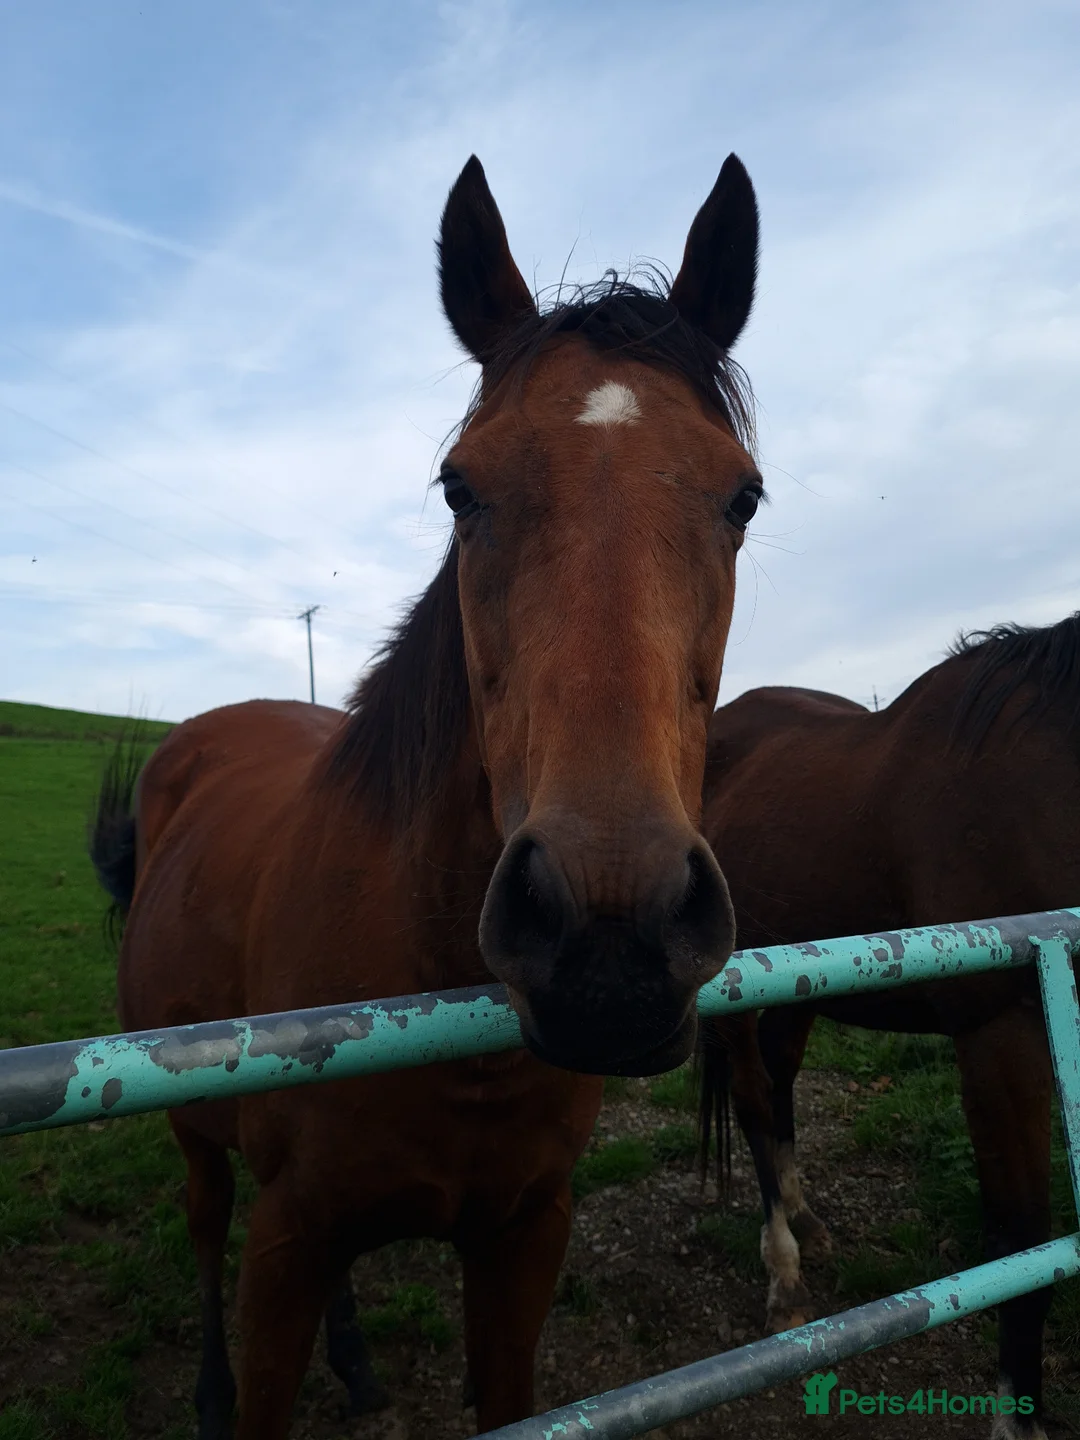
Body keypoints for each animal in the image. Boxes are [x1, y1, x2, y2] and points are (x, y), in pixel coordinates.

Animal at [90, 152, 766, 1439]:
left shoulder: (524, 1238)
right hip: (197, 1135)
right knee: (202, 1223)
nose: (610, 937)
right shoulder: (282, 1250)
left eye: (744, 497)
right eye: (460, 488)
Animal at [697, 613, 1080, 1440]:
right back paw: (784, 1272)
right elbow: (1026, 1240)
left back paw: (805, 1216)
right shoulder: (1000, 1038)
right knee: (752, 1100)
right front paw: (1017, 1417)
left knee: (779, 1083)